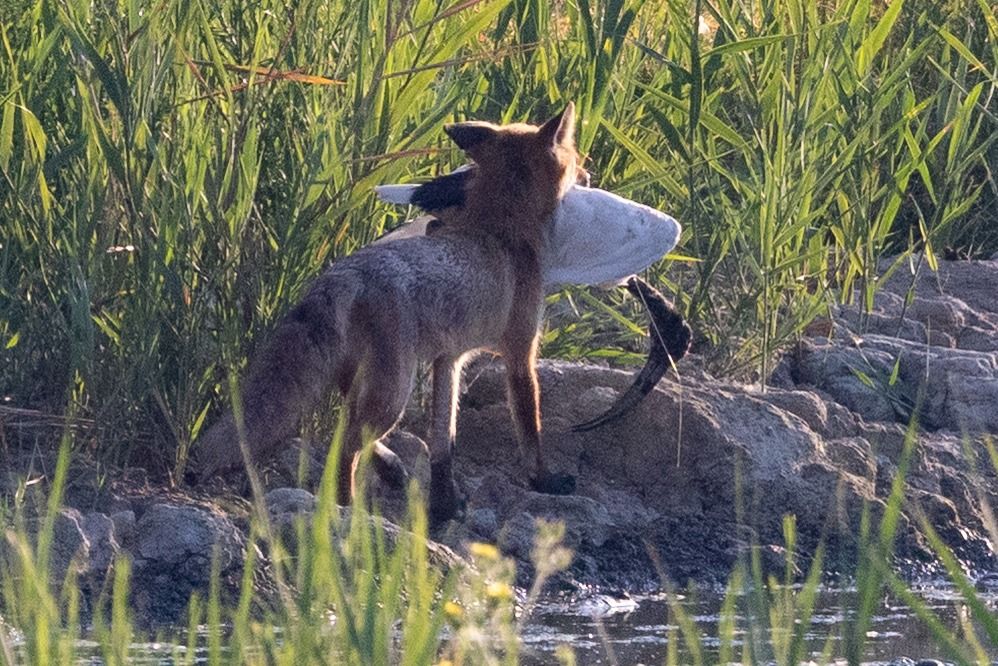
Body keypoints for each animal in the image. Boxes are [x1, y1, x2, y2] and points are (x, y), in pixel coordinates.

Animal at [196, 104, 580, 524]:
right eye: (575, 159)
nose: (588, 175)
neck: (499, 228)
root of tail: (343, 273)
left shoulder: (449, 358)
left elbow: (443, 442)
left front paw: (444, 503)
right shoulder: (520, 353)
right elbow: (530, 429)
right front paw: (544, 480)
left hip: (363, 378)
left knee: (349, 429)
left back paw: (386, 472)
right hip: (394, 391)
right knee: (345, 445)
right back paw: (347, 508)